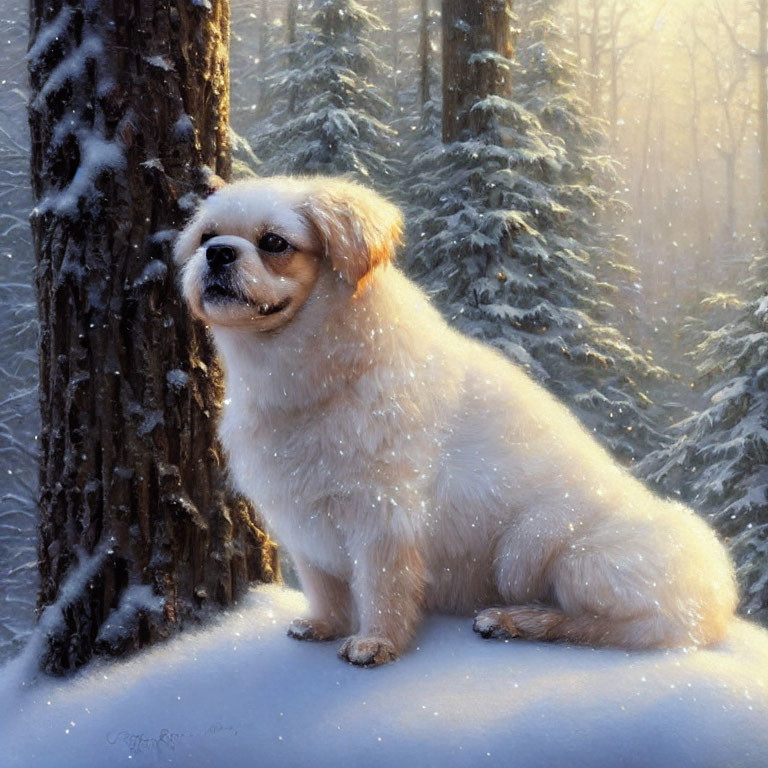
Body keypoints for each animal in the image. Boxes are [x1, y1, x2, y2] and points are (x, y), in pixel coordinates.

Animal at [174, 174, 736, 664]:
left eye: (274, 242)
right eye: (206, 236)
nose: (218, 252)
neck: (316, 378)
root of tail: (719, 597)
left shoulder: (383, 515)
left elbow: (382, 585)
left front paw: (375, 643)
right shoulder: (300, 517)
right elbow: (324, 585)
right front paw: (323, 626)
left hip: (563, 554)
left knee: (623, 629)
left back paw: (517, 620)